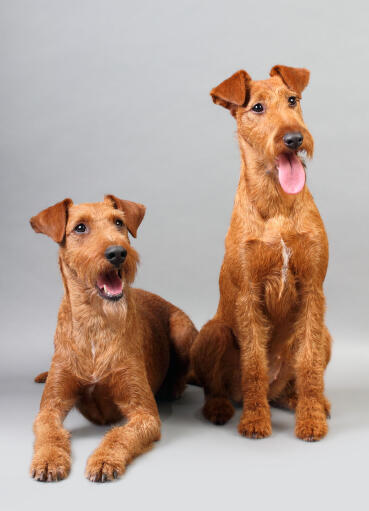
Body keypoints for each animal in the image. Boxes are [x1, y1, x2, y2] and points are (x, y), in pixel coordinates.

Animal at [29, 194, 197, 482]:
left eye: (118, 222)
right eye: (80, 227)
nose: (118, 253)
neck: (95, 322)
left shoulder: (143, 413)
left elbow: (121, 434)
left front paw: (105, 460)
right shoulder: (50, 407)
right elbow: (50, 432)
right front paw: (49, 460)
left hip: (182, 330)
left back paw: (172, 387)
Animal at [191, 66, 332, 442]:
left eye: (293, 100)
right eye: (257, 107)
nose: (294, 139)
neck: (277, 202)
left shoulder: (312, 289)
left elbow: (310, 364)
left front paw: (311, 419)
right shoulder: (249, 295)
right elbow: (253, 363)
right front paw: (255, 421)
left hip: (324, 335)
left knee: (299, 376)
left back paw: (305, 401)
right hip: (212, 333)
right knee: (215, 386)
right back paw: (222, 408)